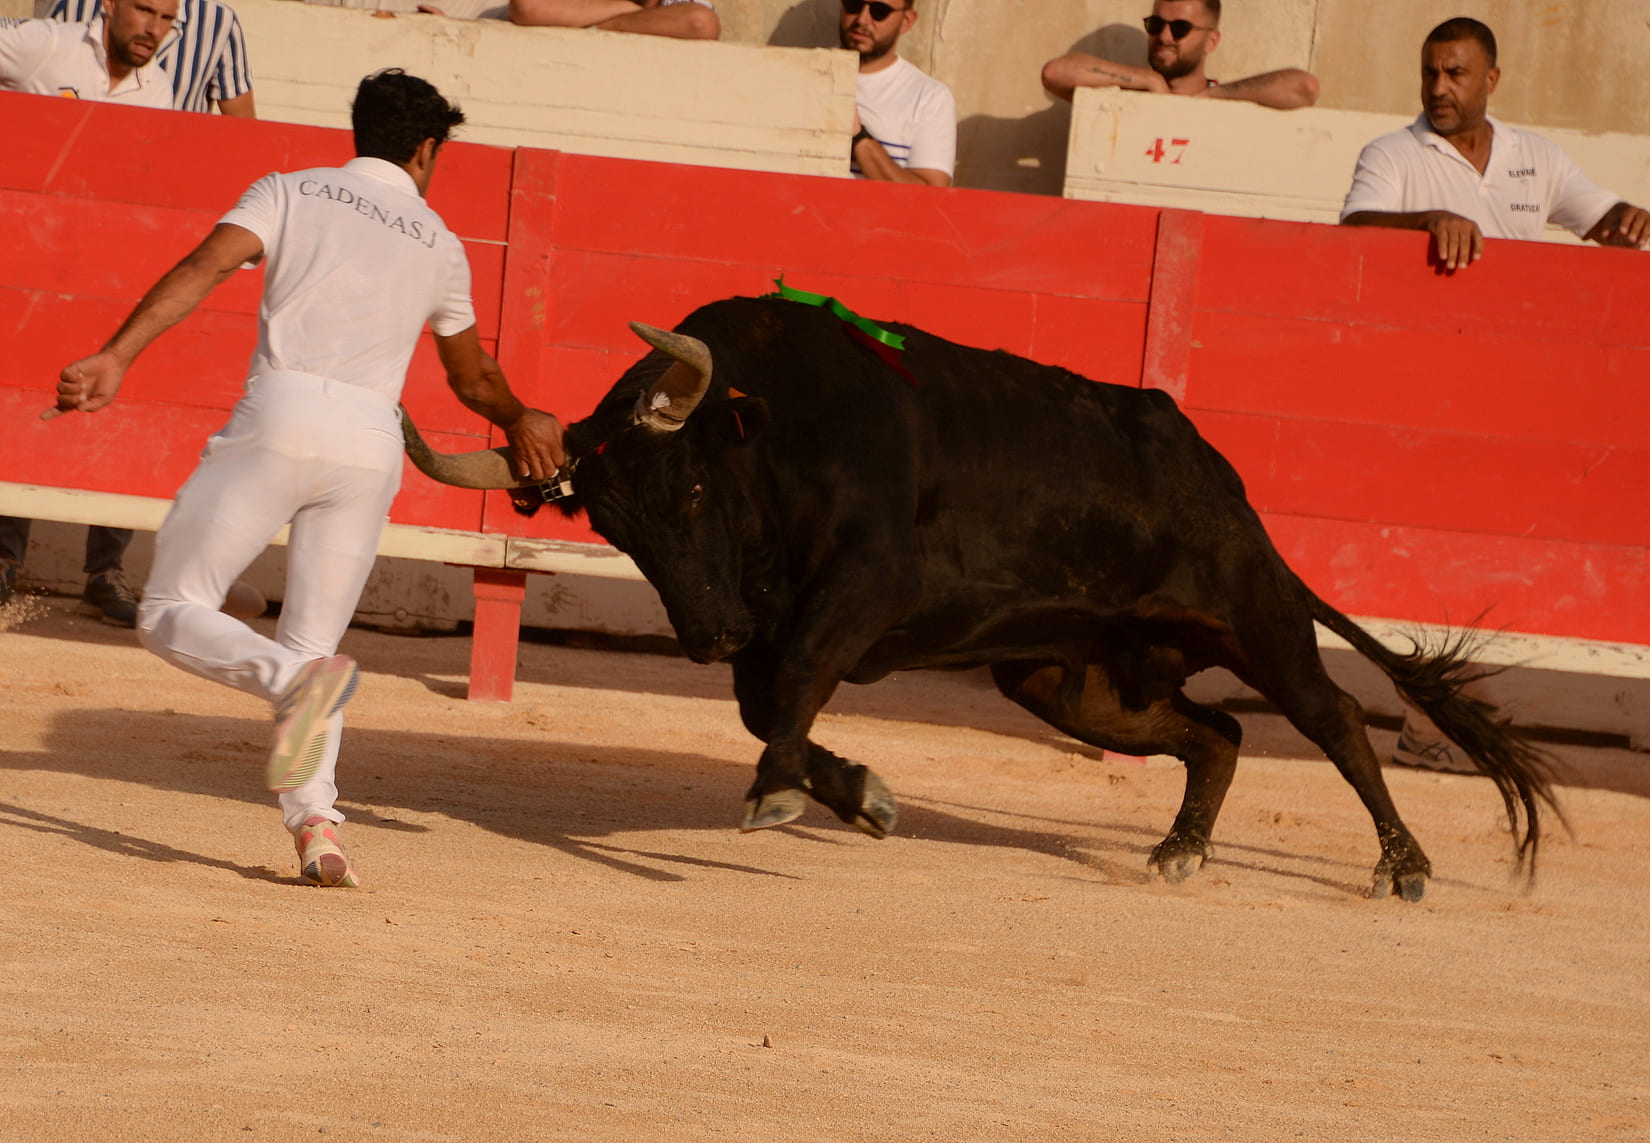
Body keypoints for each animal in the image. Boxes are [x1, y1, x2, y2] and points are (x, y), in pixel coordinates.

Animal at [402, 296, 1557, 903]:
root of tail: (1213, 466)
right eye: (616, 531)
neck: (775, 433)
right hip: (1067, 678)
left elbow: (786, 696)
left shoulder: (862, 589)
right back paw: (1179, 849)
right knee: (1217, 733)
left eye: (688, 491)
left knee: (1337, 719)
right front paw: (857, 795)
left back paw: (1404, 866)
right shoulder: (779, 626)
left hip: (1256, 614)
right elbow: (771, 705)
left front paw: (789, 795)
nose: (708, 631)